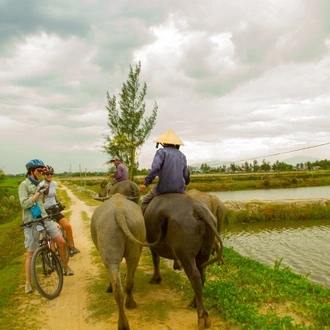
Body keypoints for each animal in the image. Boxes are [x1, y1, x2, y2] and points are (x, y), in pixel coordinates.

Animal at [143, 193, 223, 330]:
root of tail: (198, 209)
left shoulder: (152, 245)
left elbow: (155, 260)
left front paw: (156, 278)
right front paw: (175, 266)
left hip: (186, 254)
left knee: (194, 276)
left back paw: (202, 315)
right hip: (205, 251)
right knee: (202, 274)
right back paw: (193, 303)